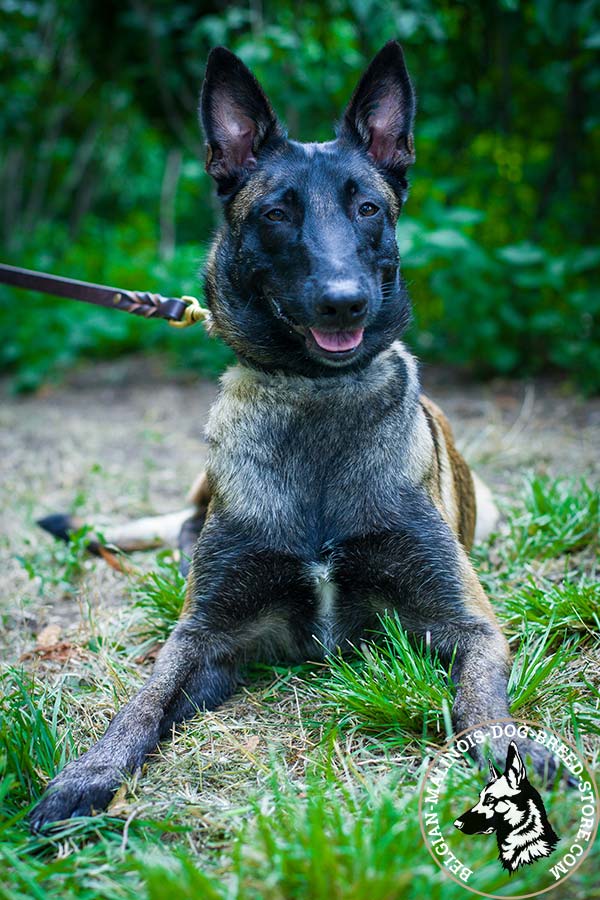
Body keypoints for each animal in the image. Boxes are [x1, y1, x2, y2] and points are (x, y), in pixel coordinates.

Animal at [30, 40, 556, 828]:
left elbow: (480, 703)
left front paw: (507, 753)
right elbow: (144, 700)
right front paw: (87, 773)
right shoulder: (207, 634)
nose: (344, 303)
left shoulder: (468, 623)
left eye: (368, 208)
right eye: (278, 213)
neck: (315, 397)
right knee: (179, 528)